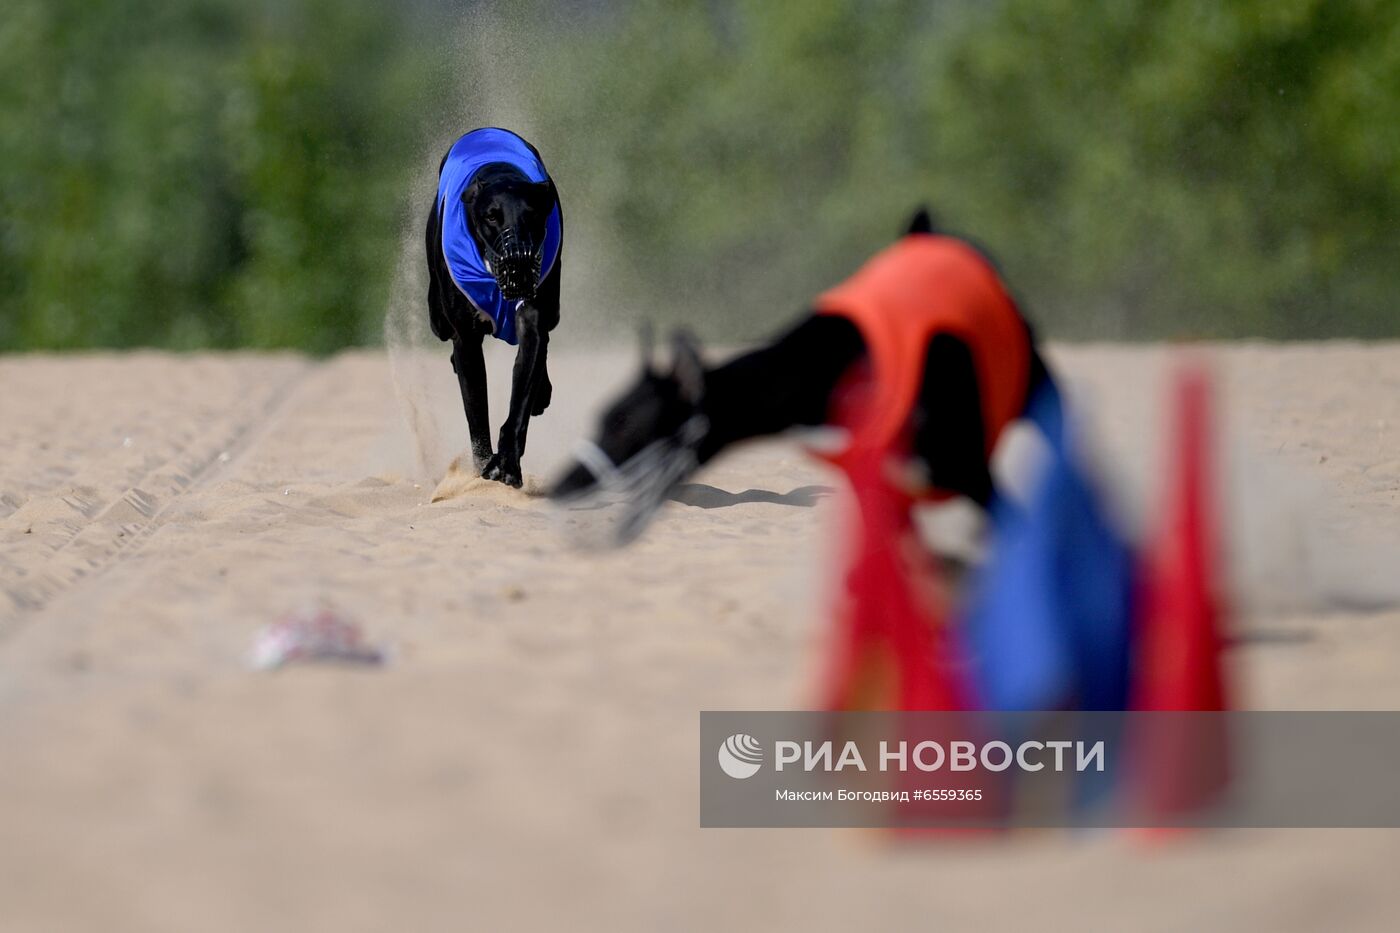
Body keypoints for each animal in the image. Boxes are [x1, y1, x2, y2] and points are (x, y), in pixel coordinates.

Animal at [422, 127, 560, 487]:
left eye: (533, 215)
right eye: (491, 216)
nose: (518, 262)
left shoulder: (532, 321)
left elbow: (520, 401)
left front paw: (507, 463)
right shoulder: (467, 339)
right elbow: (476, 413)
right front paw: (482, 466)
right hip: (437, 316)